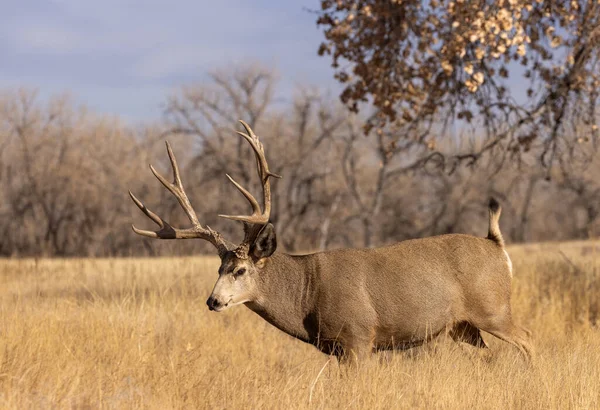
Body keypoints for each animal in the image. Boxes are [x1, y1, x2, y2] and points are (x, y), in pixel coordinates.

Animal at [129, 120, 532, 364]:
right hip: (463, 326)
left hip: (493, 308)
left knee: (527, 337)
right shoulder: (339, 349)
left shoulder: (359, 337)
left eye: (240, 270)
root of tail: (497, 246)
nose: (213, 301)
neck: (307, 292)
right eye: (219, 267)